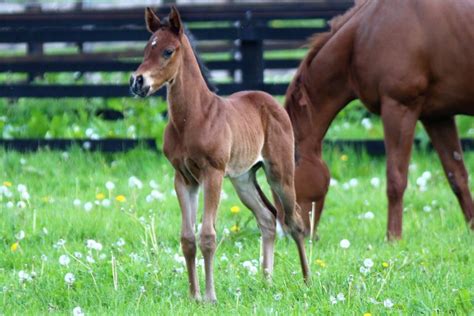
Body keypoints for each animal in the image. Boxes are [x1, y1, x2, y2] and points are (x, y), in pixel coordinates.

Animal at [129, 5, 312, 302]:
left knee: (293, 219)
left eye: (168, 51)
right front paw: (194, 296)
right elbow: (187, 238)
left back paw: (307, 280)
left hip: (280, 173)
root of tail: (270, 100)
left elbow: (207, 236)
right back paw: (267, 281)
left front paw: (211, 297)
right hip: (243, 179)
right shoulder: (184, 179)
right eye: (147, 48)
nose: (137, 82)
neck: (192, 118)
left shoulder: (212, 174)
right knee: (267, 218)